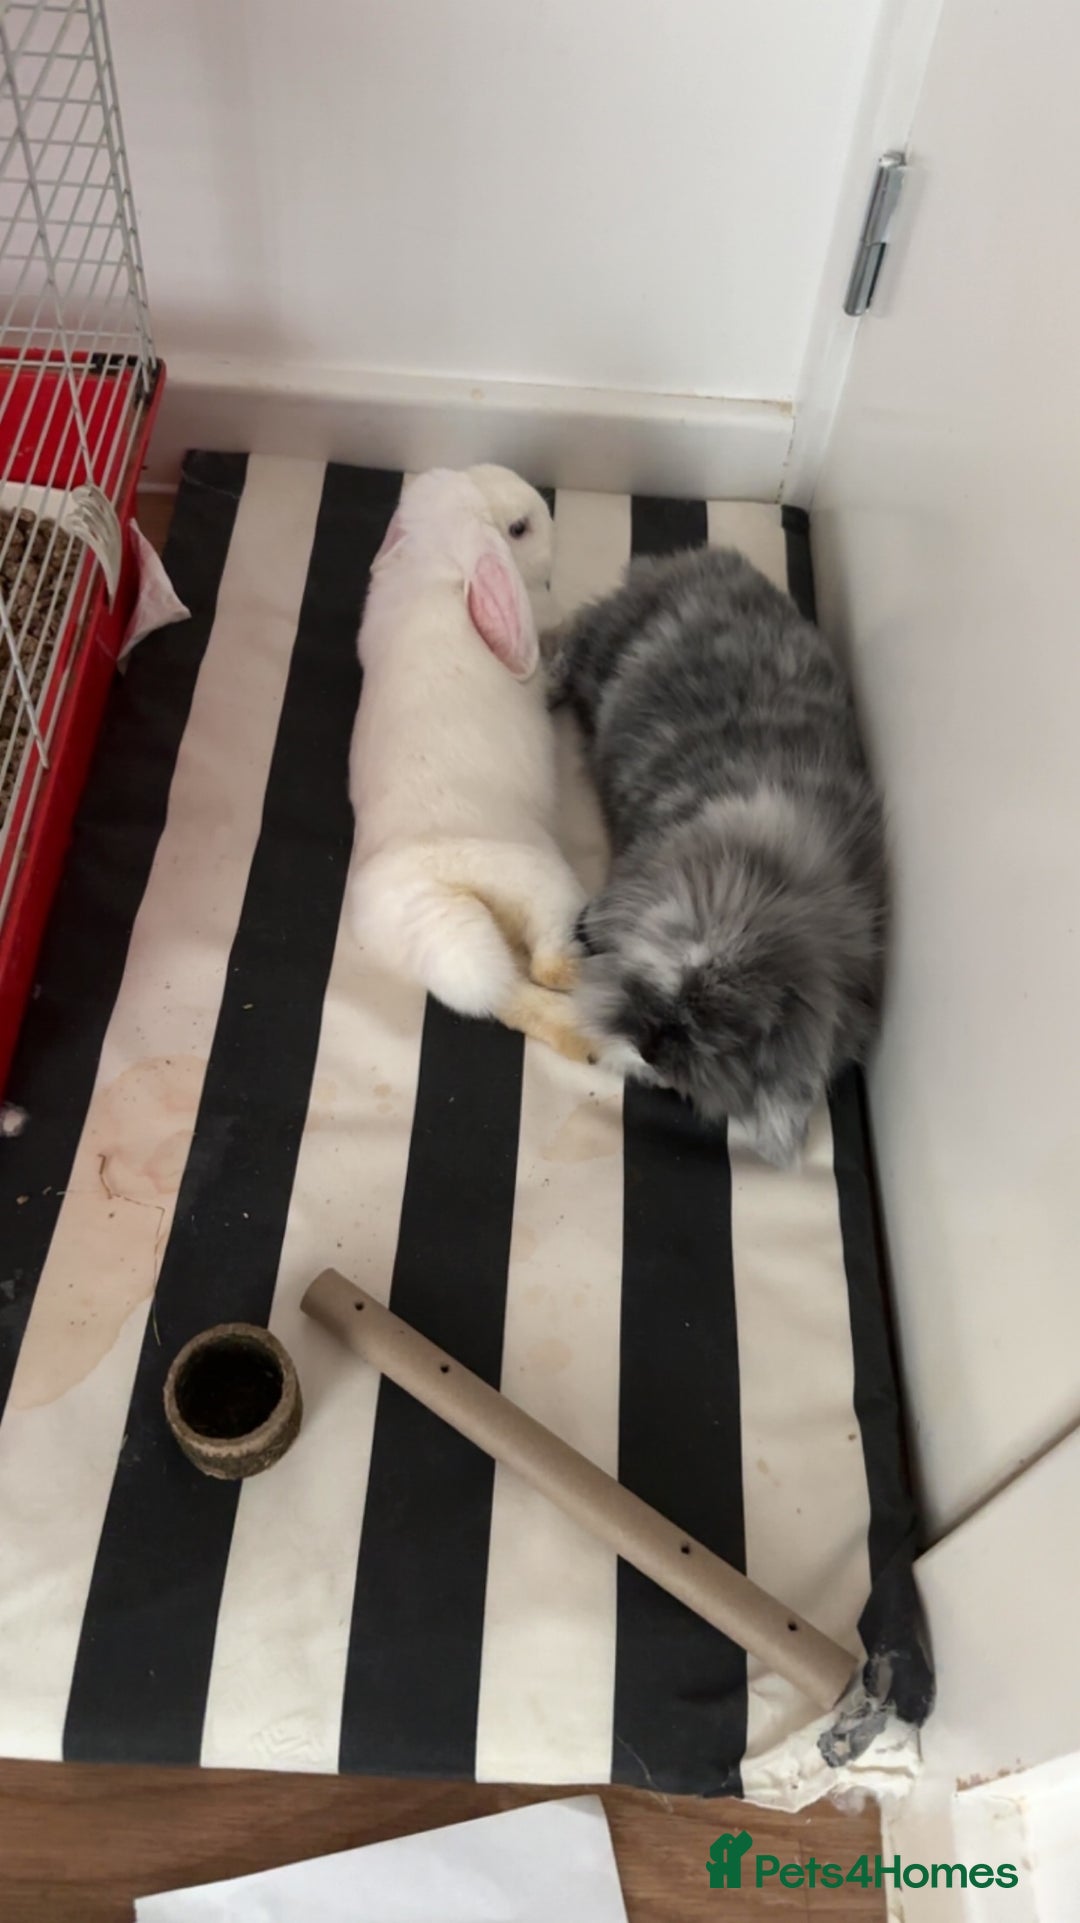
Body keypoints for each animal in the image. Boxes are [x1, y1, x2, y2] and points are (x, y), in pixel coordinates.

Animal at [347, 465, 593, 1062]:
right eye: (520, 528)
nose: (551, 528)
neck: (435, 566)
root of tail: (440, 886)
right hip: (546, 883)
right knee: (547, 963)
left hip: (453, 945)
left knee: (503, 993)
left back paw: (580, 1041)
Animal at [546, 545, 887, 1164]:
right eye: (659, 981)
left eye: (728, 1041)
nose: (652, 1054)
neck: (770, 880)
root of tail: (710, 560)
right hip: (606, 647)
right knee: (576, 633)